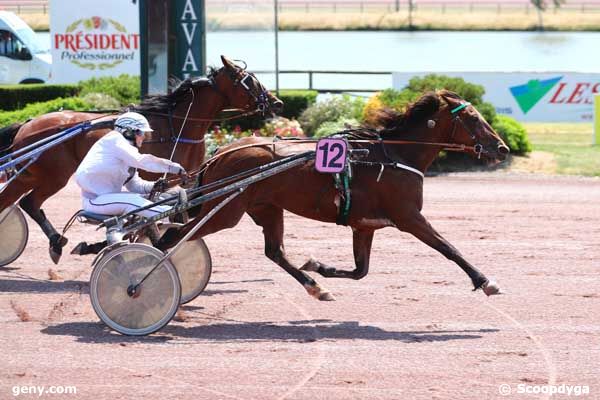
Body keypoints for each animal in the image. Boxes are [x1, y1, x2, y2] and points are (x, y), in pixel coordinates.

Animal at [0, 56, 282, 262]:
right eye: (248, 81)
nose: (277, 102)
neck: (177, 125)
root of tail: (27, 124)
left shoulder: (181, 181)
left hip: (32, 174)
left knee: (23, 201)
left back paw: (55, 242)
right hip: (52, 174)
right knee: (26, 201)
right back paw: (56, 242)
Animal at [158, 89, 506, 298]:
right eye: (473, 118)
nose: (501, 148)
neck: (395, 155)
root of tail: (220, 154)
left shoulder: (364, 225)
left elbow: (360, 271)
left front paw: (318, 267)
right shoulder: (408, 216)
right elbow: (448, 248)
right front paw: (485, 281)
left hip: (266, 207)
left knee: (274, 251)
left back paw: (315, 287)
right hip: (226, 210)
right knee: (174, 236)